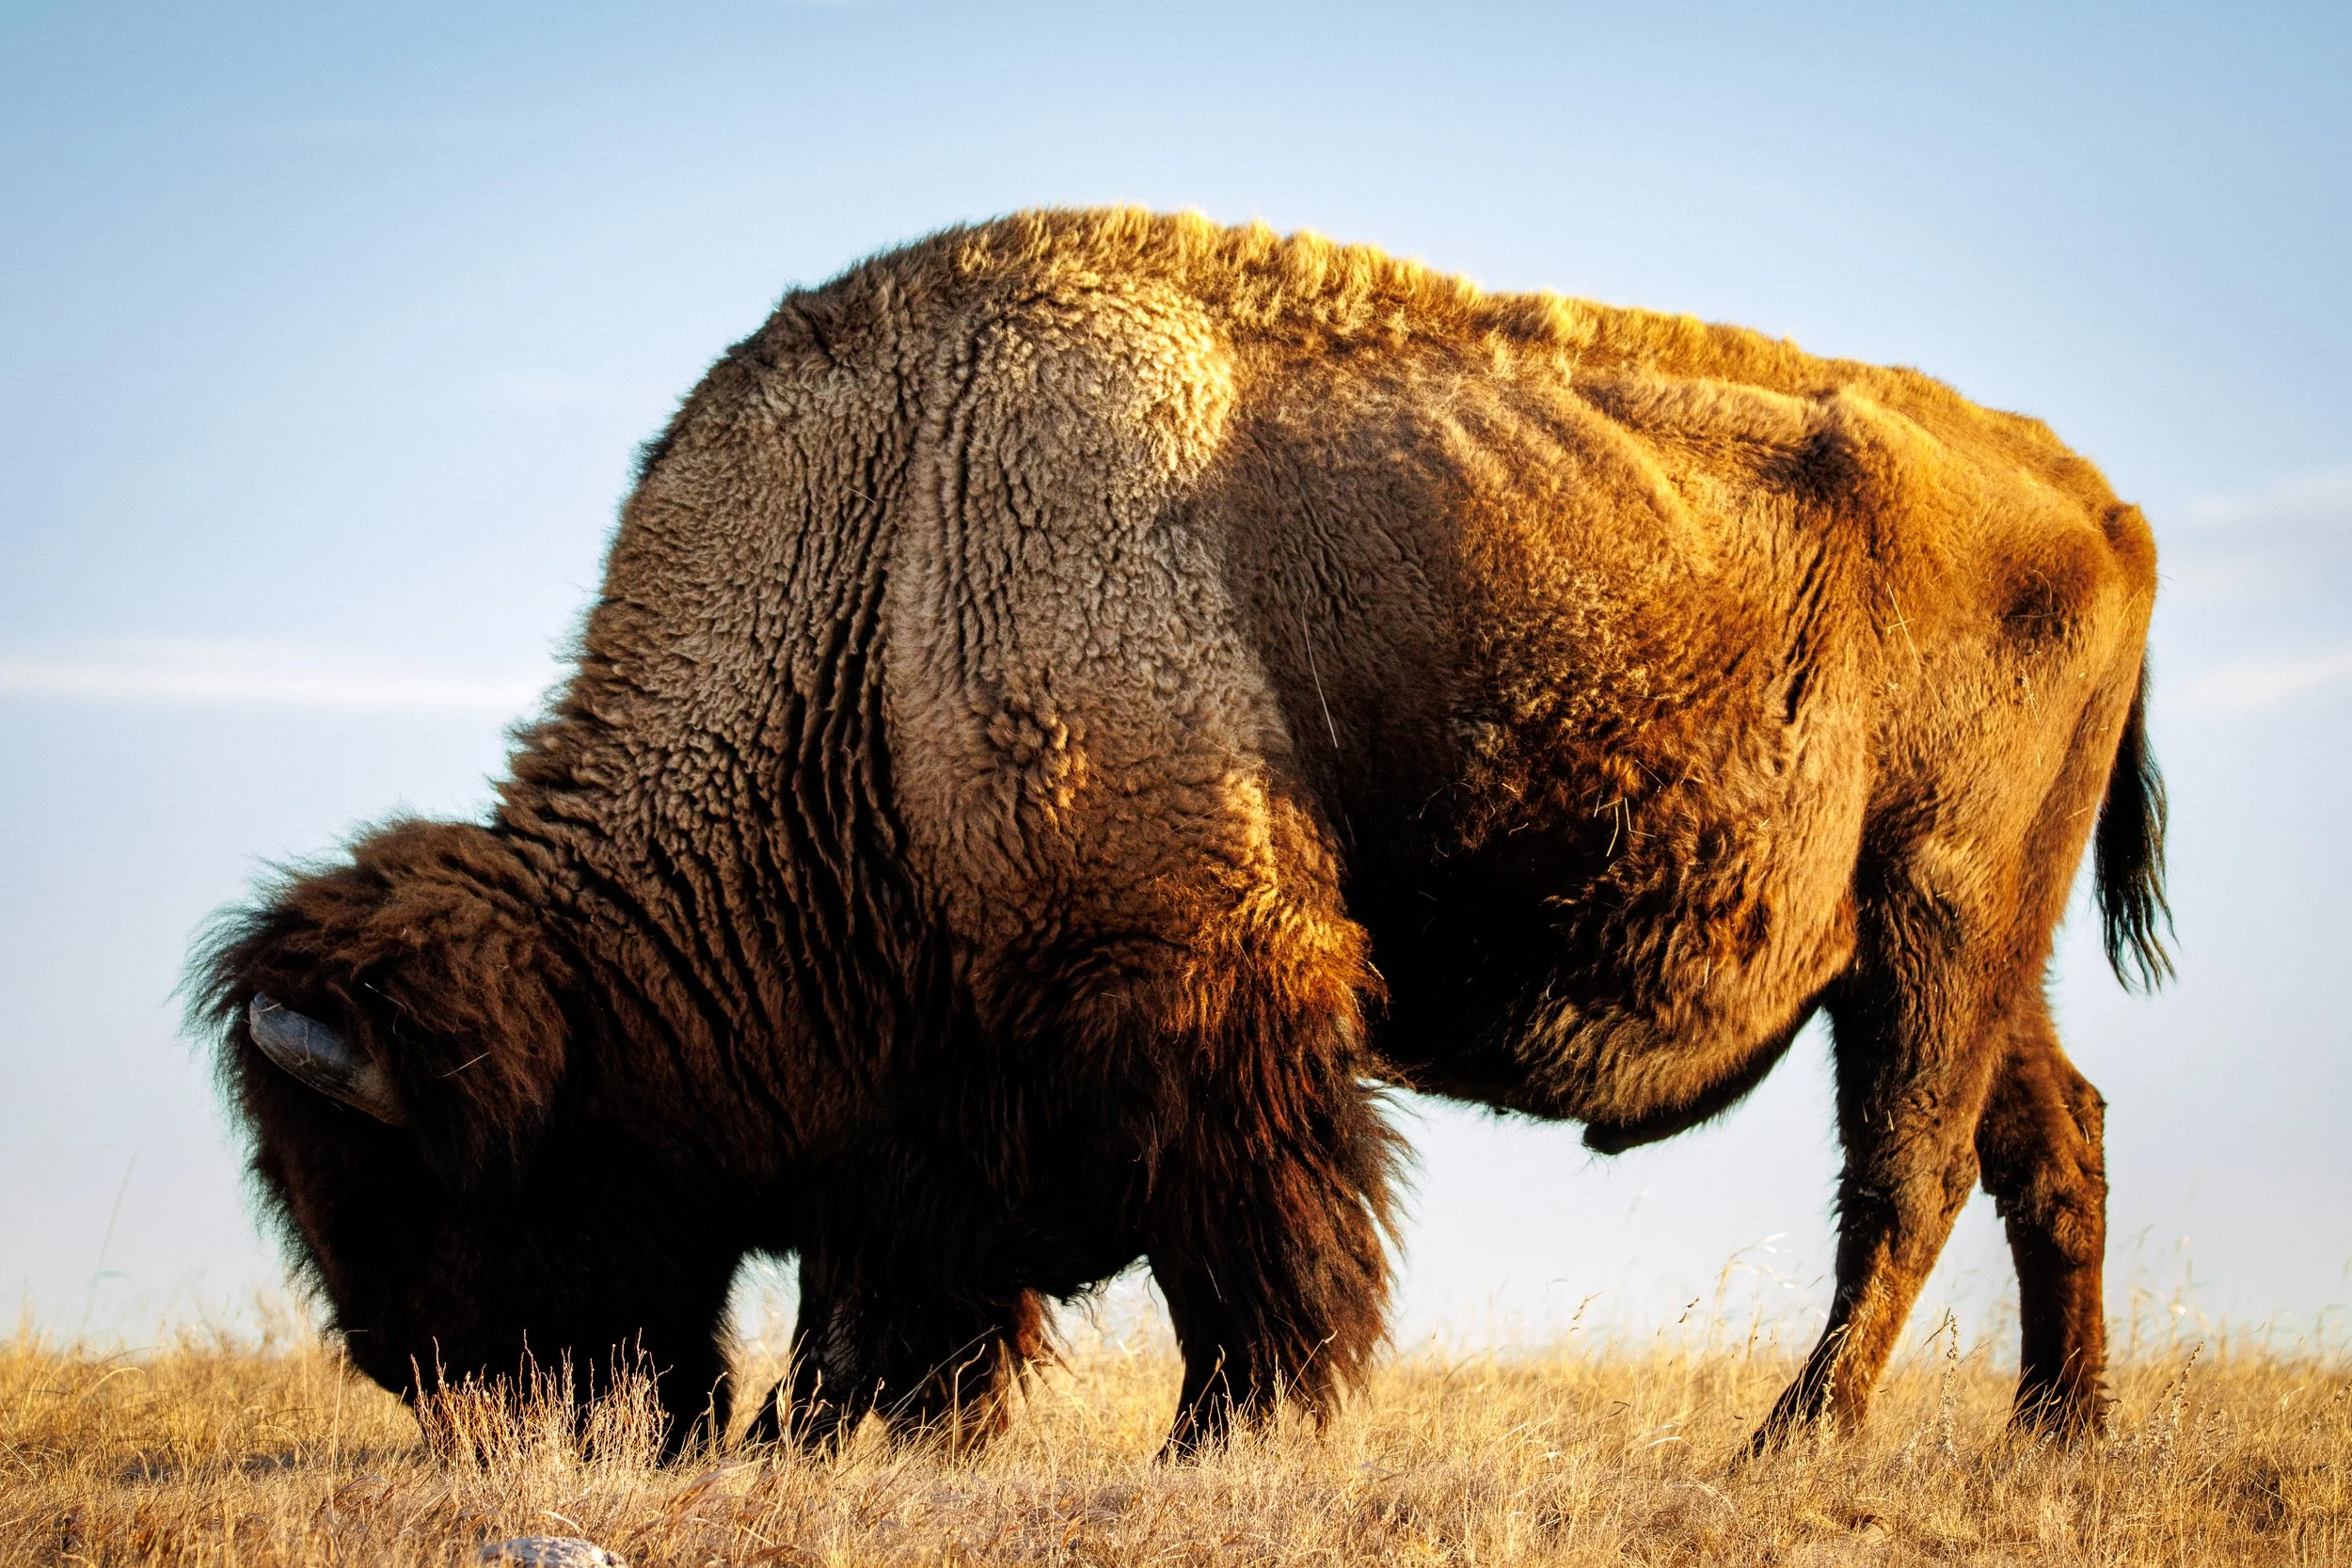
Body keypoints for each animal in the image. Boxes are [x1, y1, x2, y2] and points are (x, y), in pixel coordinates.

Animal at [194, 208, 2166, 1457]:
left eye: (422, 1171)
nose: (439, 1389)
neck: (885, 577)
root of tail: (2098, 498)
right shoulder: (947, 1074)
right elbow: (903, 1264)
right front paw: (841, 1428)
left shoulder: (1199, 988)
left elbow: (1249, 1238)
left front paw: (1227, 1436)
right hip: (1964, 950)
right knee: (2050, 1140)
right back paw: (2056, 1433)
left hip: (1934, 926)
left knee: (1904, 1175)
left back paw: (1794, 1440)